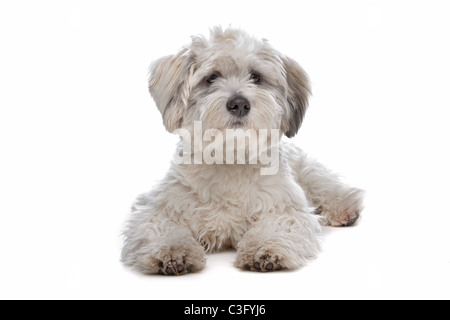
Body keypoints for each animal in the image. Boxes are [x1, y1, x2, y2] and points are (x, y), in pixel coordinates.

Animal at [121, 26, 364, 276]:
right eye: (212, 77)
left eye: (256, 77)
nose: (238, 103)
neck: (230, 158)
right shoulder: (160, 208)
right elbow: (161, 229)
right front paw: (172, 253)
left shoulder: (285, 206)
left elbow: (279, 225)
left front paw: (266, 249)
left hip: (307, 171)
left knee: (326, 185)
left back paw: (345, 208)